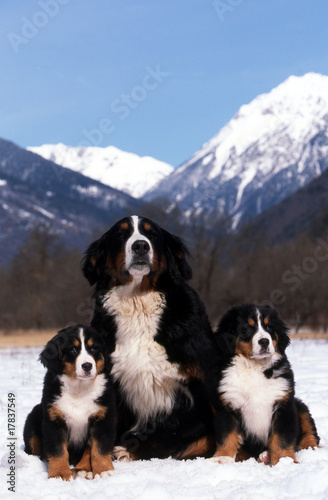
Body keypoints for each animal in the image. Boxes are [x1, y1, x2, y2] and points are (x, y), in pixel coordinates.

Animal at [23, 324, 115, 480]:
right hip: (33, 419)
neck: (79, 389)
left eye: (94, 349)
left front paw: (103, 470)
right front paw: (60, 473)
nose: (87, 366)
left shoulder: (102, 418)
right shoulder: (54, 420)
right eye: (73, 349)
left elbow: (98, 448)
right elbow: (58, 450)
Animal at [210, 304, 320, 464]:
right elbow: (227, 435)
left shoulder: (283, 405)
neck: (254, 366)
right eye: (247, 329)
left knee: (309, 435)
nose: (264, 341)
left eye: (269, 328)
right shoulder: (226, 404)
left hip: (301, 407)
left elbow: (281, 438)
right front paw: (222, 458)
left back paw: (313, 450)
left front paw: (284, 460)